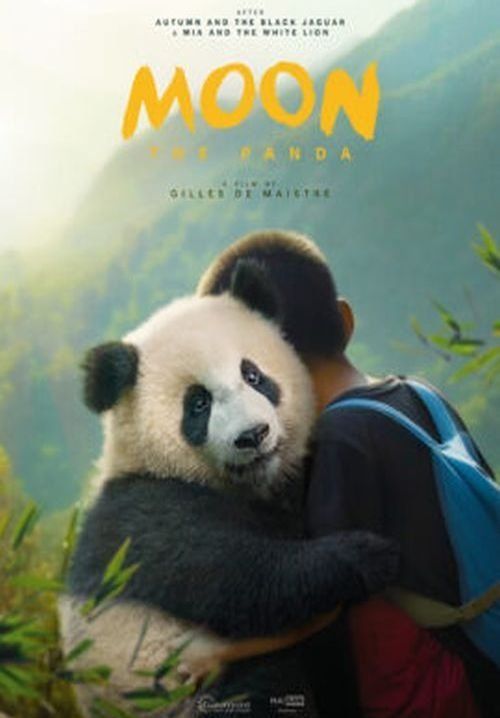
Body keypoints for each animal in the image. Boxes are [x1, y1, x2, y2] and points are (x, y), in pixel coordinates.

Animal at [60, 260, 398, 717]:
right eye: (198, 403)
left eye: (253, 375)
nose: (252, 435)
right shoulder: (145, 513)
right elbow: (233, 576)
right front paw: (365, 555)